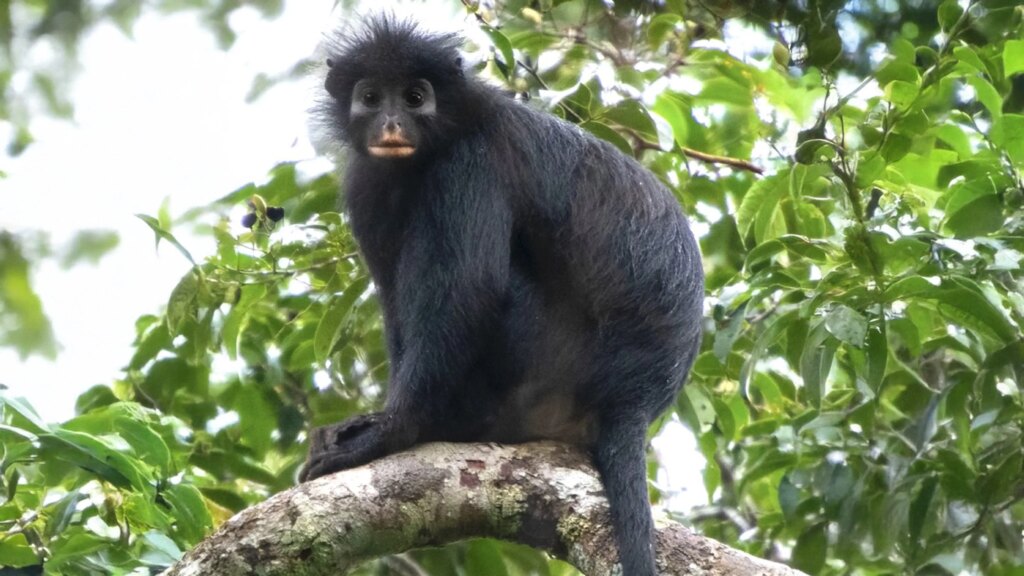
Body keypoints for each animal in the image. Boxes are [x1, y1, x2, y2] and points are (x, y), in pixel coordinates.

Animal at [301, 16, 704, 576]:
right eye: (371, 97)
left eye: (415, 97)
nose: (392, 124)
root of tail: (636, 399)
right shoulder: (368, 184)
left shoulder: (471, 163)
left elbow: (468, 291)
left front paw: (395, 431)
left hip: (543, 366)